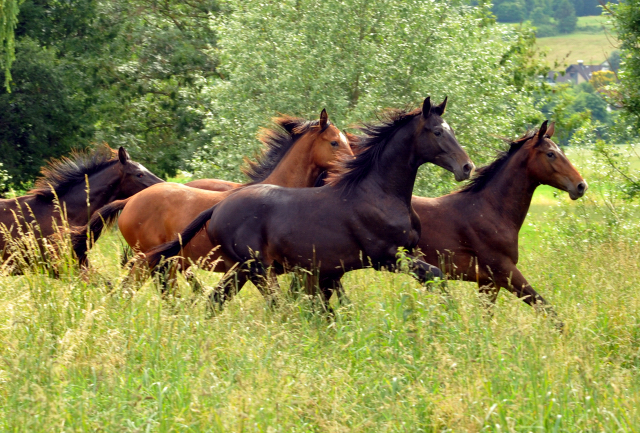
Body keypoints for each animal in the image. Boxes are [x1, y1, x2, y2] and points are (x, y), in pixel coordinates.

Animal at [146, 96, 476, 308]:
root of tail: (217, 207)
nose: (467, 167)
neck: (378, 193)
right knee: (274, 307)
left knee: (215, 301)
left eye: (452, 130)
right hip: (258, 269)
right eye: (437, 132)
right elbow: (437, 277)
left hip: (241, 269)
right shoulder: (386, 257)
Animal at [412, 120, 588, 318]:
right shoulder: (504, 271)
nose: (581, 186)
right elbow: (547, 308)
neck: (491, 209)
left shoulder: (489, 282)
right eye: (550, 154)